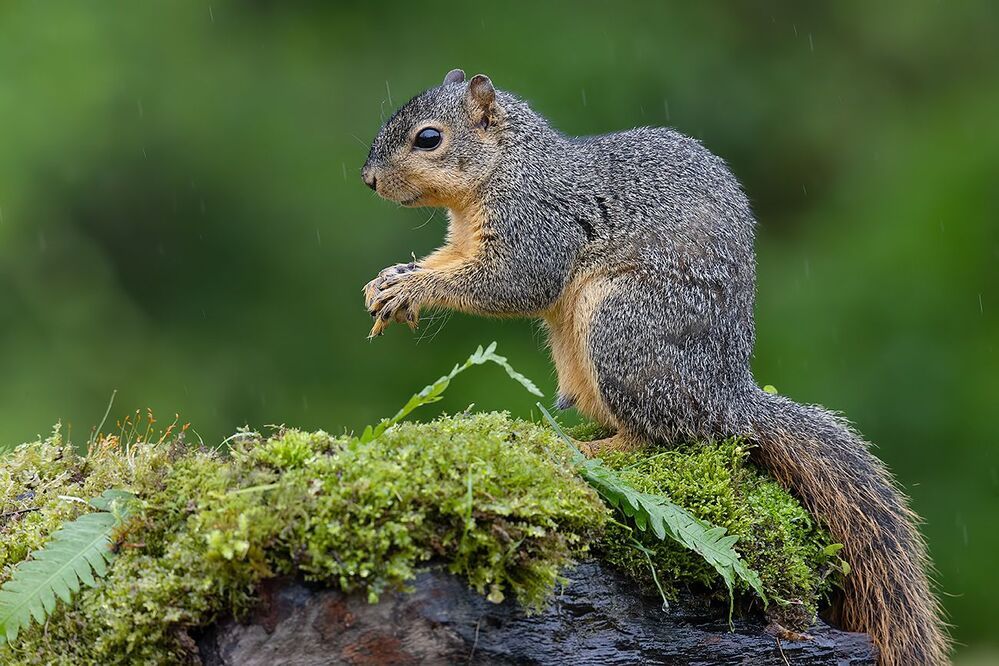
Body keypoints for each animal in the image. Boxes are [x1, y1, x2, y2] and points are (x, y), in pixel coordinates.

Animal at [360, 69, 949, 665]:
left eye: (428, 139)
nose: (368, 179)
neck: (506, 165)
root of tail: (728, 399)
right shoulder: (463, 239)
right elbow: (449, 262)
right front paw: (392, 280)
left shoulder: (536, 221)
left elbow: (517, 283)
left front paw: (413, 287)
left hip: (623, 329)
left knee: (660, 439)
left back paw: (591, 450)